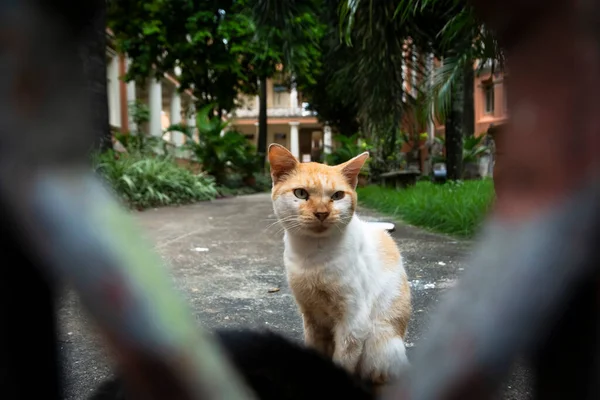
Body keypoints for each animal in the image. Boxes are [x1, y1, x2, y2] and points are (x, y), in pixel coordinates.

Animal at [268, 143, 412, 384]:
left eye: (337, 196)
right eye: (301, 193)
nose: (322, 213)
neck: (312, 258)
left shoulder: (353, 322)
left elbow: (343, 361)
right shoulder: (312, 317)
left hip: (379, 347)